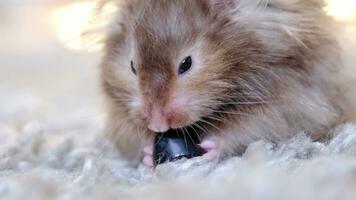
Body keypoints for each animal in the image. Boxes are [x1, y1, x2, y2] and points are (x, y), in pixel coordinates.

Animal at [99, 0, 348, 166]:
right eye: (132, 66)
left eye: (186, 64)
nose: (158, 125)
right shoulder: (120, 117)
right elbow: (132, 136)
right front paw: (150, 152)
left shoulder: (294, 102)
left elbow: (255, 127)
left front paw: (209, 149)